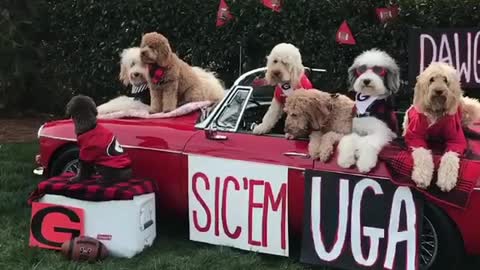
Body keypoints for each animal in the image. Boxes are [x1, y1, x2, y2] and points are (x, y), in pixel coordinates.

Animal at [404, 62, 480, 191]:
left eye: (445, 80)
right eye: (431, 79)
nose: (439, 91)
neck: (436, 110)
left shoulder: (456, 141)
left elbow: (450, 158)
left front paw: (446, 180)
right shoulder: (415, 137)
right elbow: (423, 154)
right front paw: (422, 177)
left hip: (470, 108)